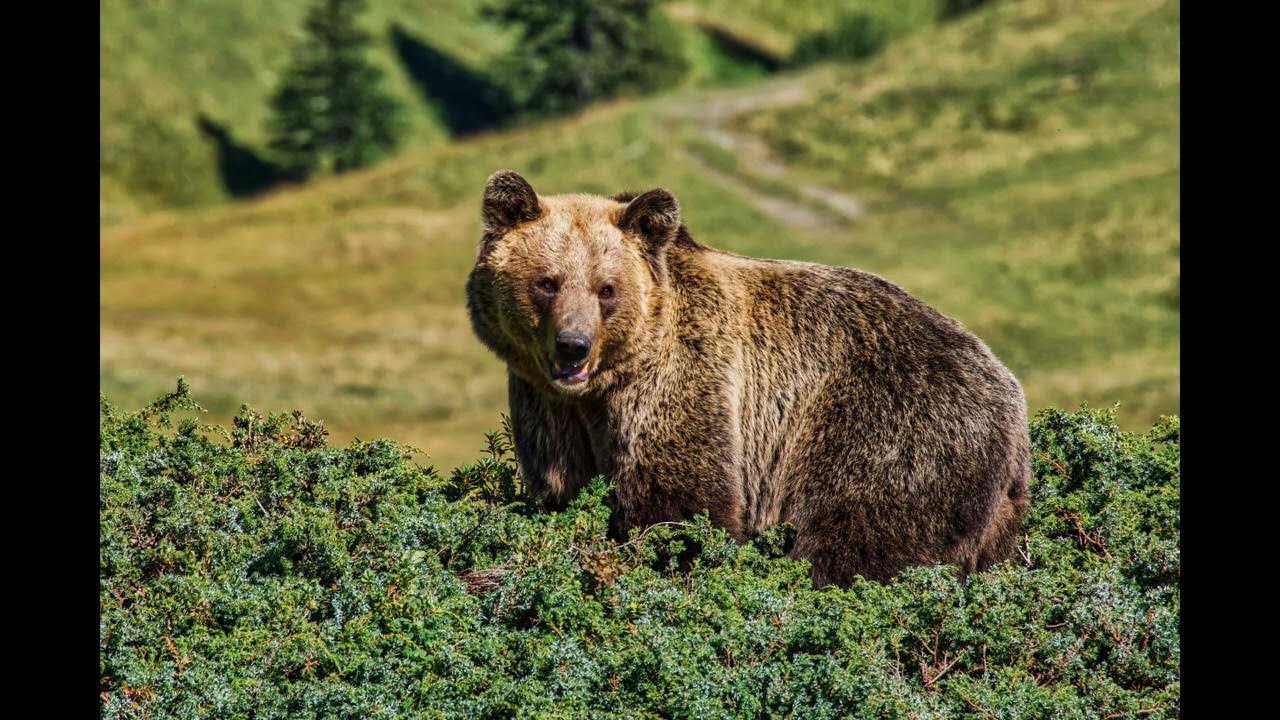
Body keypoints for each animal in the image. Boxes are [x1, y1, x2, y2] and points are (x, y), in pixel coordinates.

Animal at [466, 169, 1030, 587]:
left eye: (606, 288)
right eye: (547, 282)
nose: (573, 345)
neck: (604, 387)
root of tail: (1010, 395)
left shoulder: (682, 380)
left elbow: (680, 502)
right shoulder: (548, 406)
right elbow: (561, 485)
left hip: (890, 428)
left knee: (854, 542)